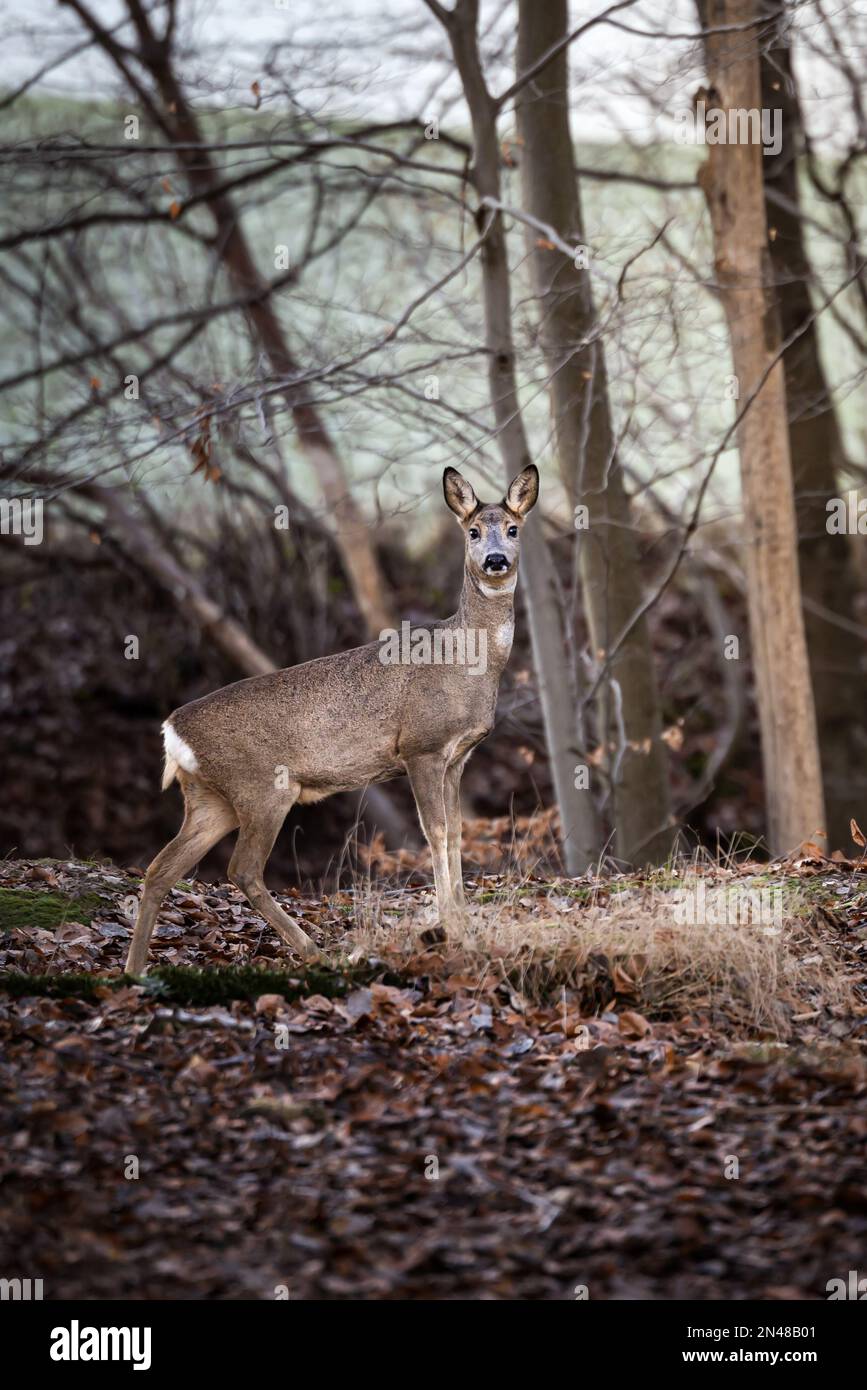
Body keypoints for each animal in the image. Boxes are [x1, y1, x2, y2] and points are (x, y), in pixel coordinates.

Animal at [124, 464, 539, 974]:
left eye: (514, 528)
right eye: (474, 531)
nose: (496, 560)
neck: (466, 659)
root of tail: (171, 732)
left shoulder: (457, 756)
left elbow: (459, 834)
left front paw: (463, 921)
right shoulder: (420, 747)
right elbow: (436, 832)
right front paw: (452, 926)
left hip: (210, 798)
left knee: (161, 868)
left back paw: (134, 971)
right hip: (262, 787)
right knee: (242, 869)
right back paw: (315, 951)